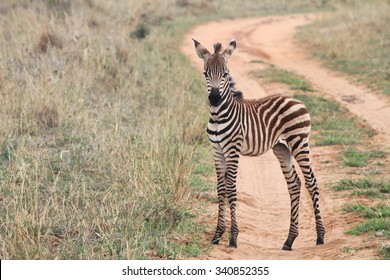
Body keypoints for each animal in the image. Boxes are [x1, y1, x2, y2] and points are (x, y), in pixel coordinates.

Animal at [193, 38, 326, 250]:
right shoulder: (217, 151)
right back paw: (289, 240)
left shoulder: (233, 150)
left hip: (299, 142)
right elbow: (221, 189)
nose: (214, 99)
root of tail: (295, 99)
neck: (218, 116)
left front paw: (233, 238)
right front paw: (217, 235)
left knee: (311, 182)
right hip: (281, 148)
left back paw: (320, 236)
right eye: (206, 74)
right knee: (294, 184)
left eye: (225, 74)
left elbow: (231, 189)